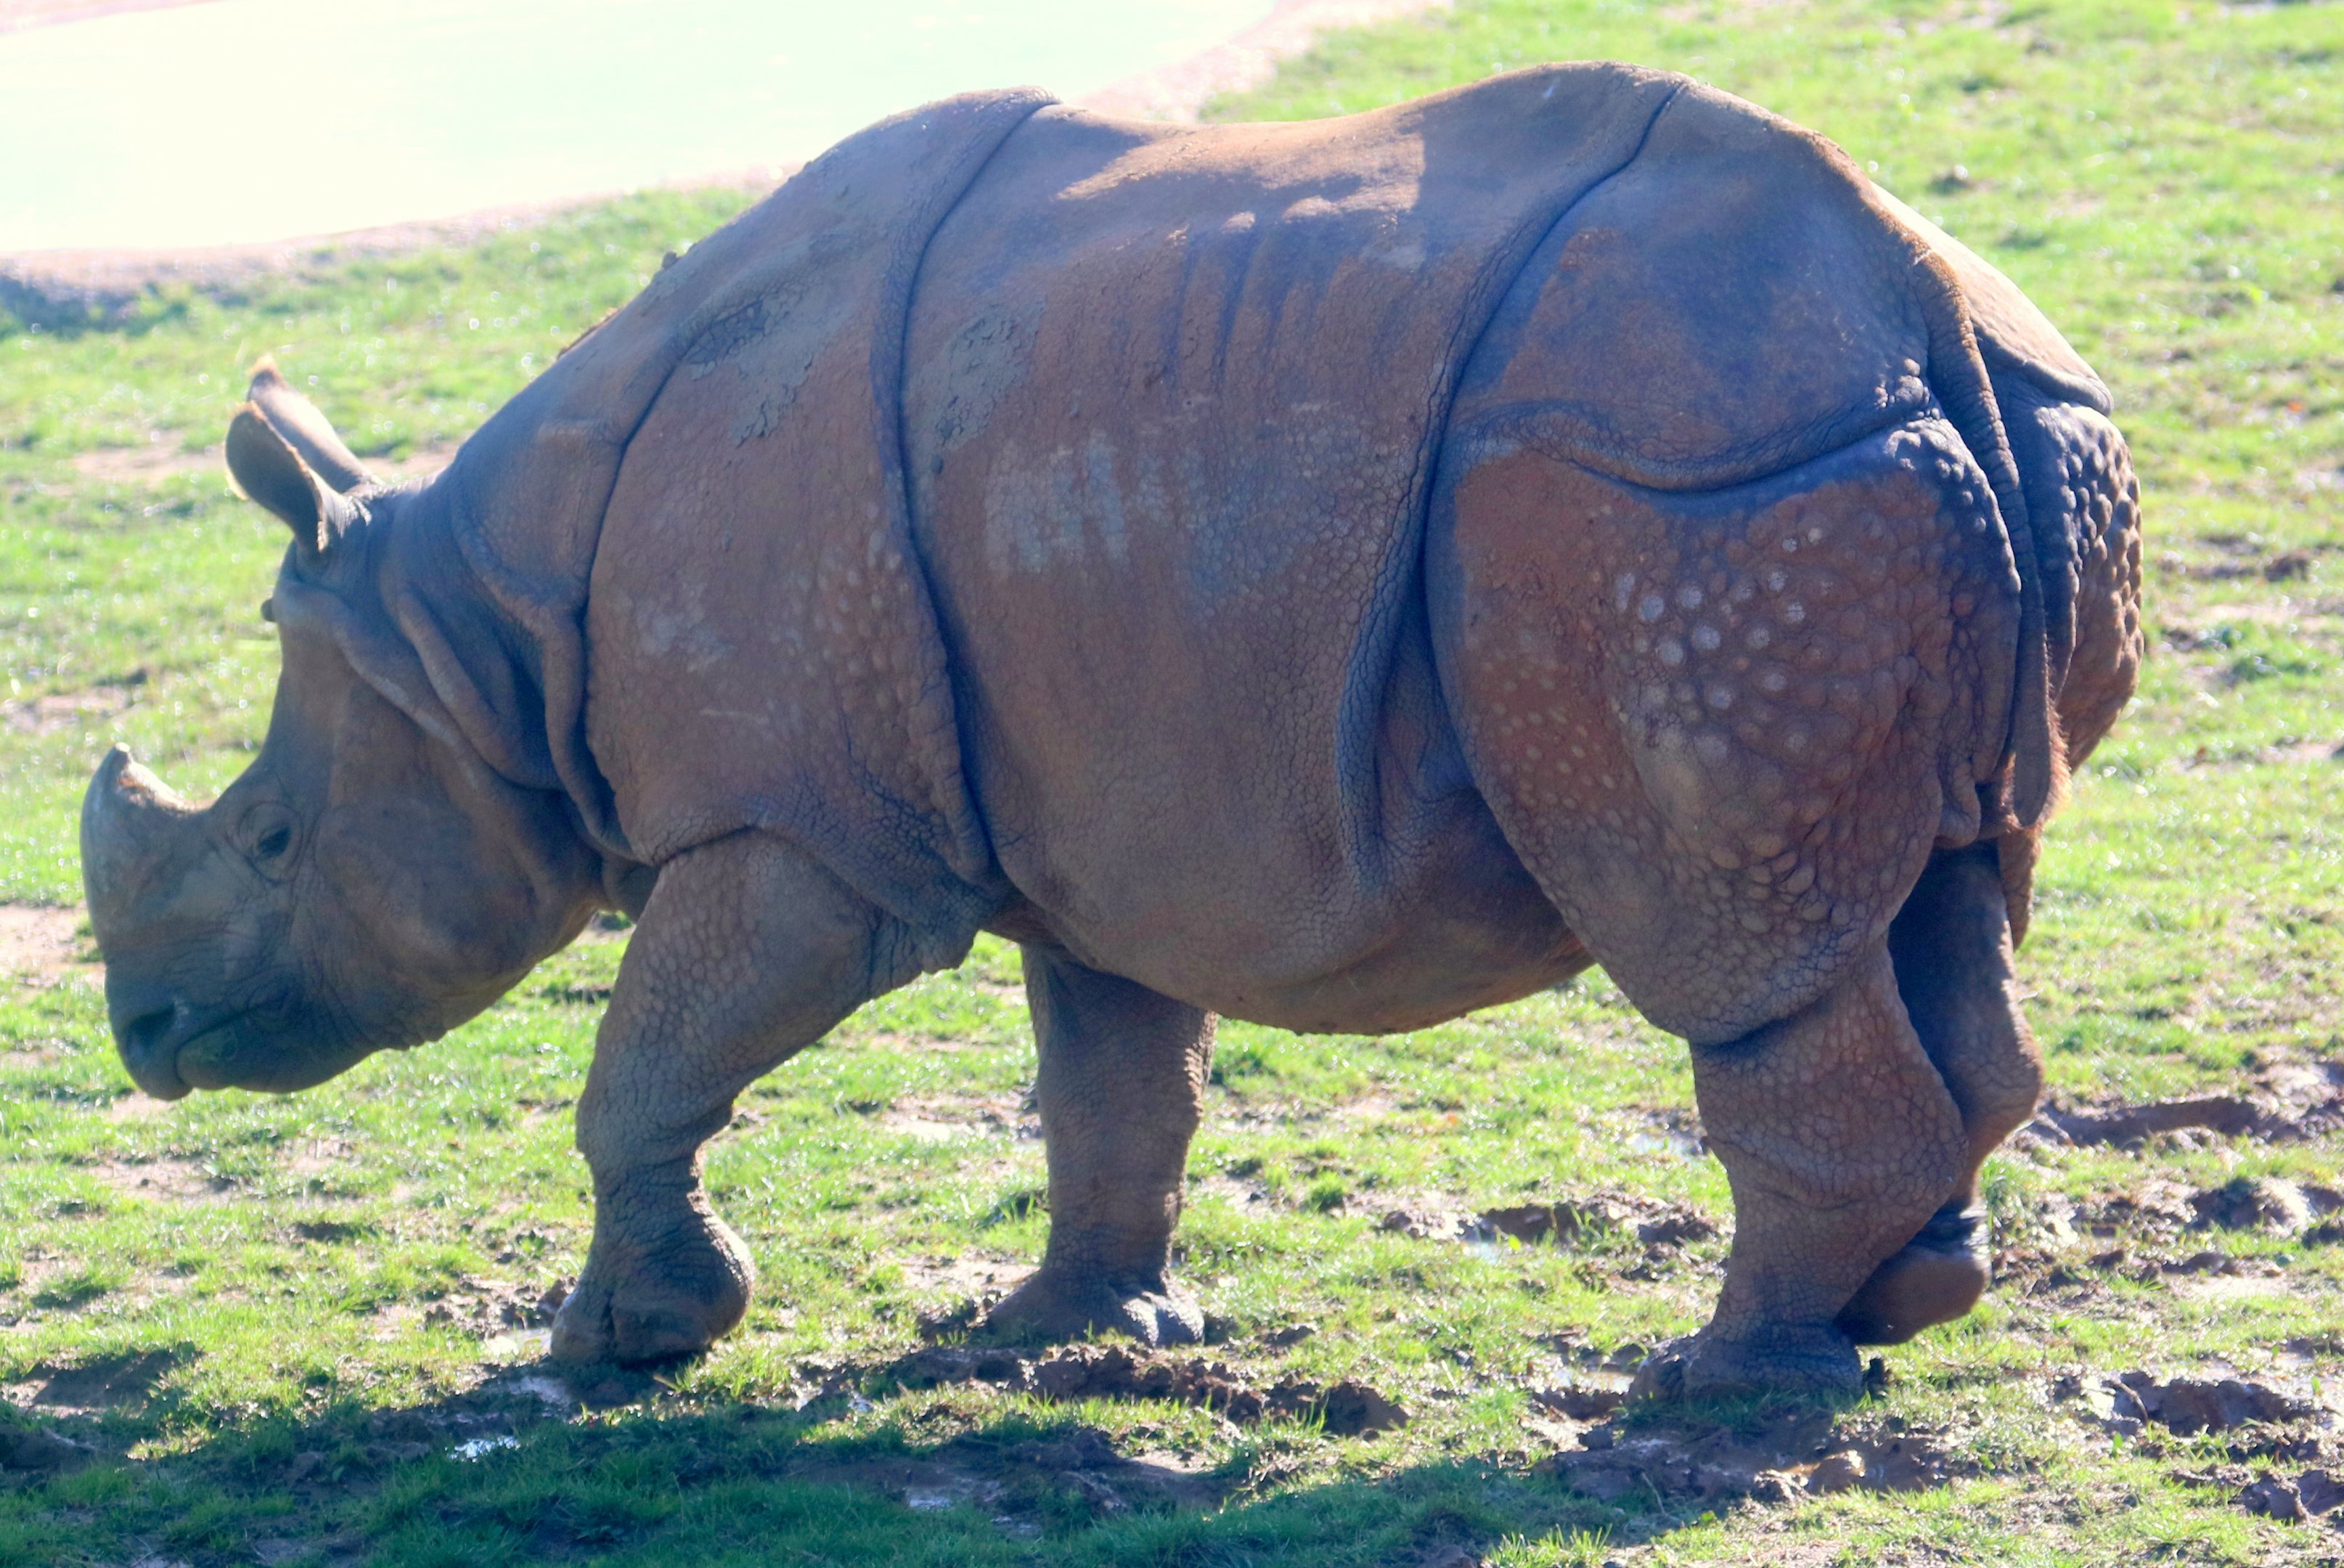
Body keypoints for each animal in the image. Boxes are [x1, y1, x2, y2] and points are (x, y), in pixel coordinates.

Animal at [80, 66, 2141, 1397]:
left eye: (271, 842)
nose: (148, 1040)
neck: (480, 635)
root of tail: (1918, 304)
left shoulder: (807, 822)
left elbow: (643, 1063)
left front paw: (622, 1349)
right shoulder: (1092, 807)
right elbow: (1109, 1080)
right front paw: (1069, 1334)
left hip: (1677, 496)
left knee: (1729, 942)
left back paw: (1716, 1383)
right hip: (1926, 450)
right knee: (1941, 887)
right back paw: (1896, 1305)